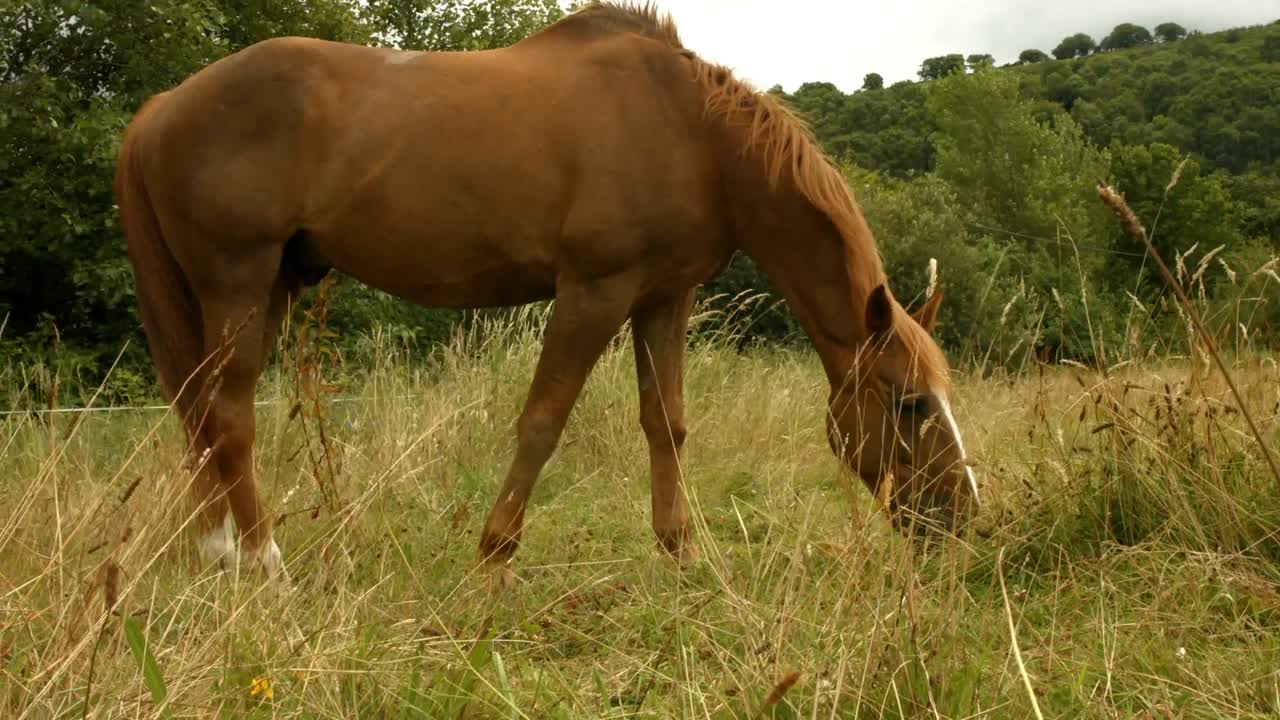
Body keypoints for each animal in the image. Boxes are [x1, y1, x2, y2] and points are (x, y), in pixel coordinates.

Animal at [113, 1, 979, 586]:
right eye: (910, 403)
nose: (963, 515)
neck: (693, 134)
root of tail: (159, 109)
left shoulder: (662, 299)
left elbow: (667, 426)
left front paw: (680, 557)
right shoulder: (594, 291)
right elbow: (542, 422)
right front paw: (492, 557)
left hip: (273, 288)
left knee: (203, 412)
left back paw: (219, 556)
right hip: (238, 280)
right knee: (228, 418)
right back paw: (265, 567)